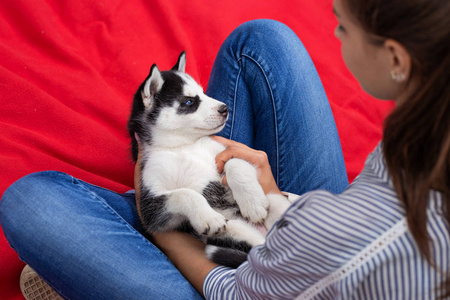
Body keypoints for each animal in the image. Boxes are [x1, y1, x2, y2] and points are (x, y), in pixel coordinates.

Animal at [127, 51, 288, 268]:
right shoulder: (151, 207)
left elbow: (234, 162)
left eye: (203, 93)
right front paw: (207, 216)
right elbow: (184, 193)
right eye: (189, 102)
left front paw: (252, 202)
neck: (182, 146)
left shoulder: (227, 151)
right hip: (236, 229)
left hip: (277, 200)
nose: (225, 108)